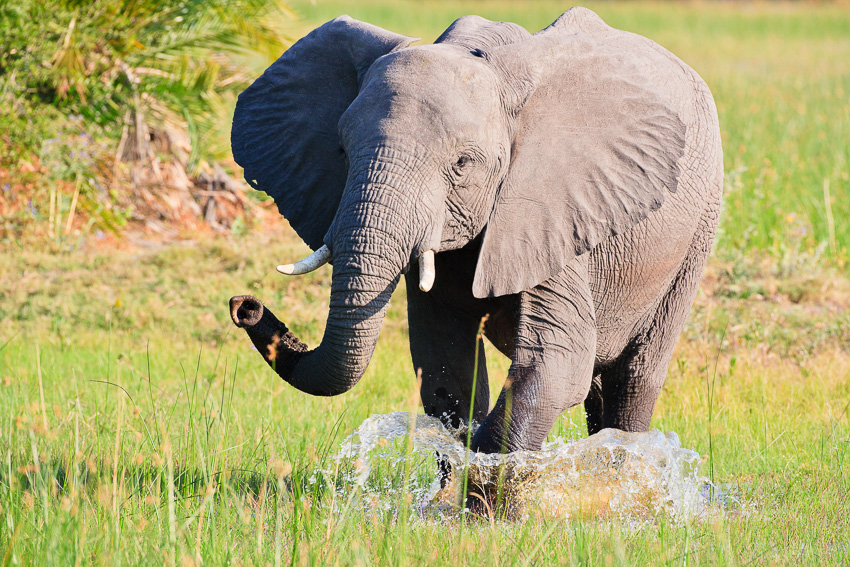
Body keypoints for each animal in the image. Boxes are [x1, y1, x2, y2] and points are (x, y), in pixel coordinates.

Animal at [228, 7, 723, 455]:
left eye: (462, 164)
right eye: (343, 151)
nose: (244, 306)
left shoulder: (553, 208)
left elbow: (554, 364)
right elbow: (446, 364)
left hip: (698, 230)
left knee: (634, 377)